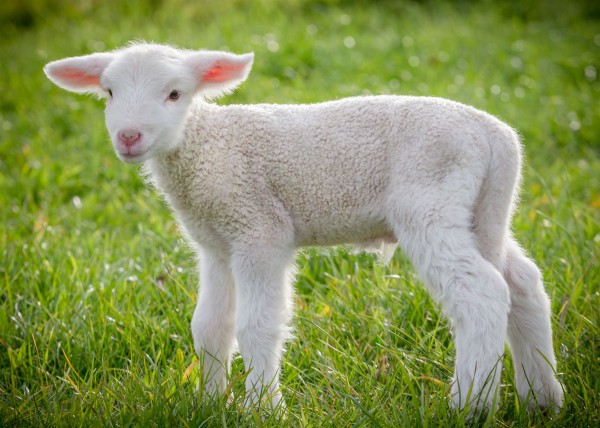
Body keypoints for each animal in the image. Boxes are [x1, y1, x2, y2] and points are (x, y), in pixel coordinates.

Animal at [44, 42, 564, 414]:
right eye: (109, 93)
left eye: (174, 94)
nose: (128, 137)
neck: (207, 146)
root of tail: (497, 137)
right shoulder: (216, 244)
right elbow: (210, 326)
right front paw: (209, 403)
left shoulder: (259, 229)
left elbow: (256, 326)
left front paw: (261, 408)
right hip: (481, 211)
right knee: (523, 284)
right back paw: (541, 398)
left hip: (431, 202)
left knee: (482, 294)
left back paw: (469, 405)